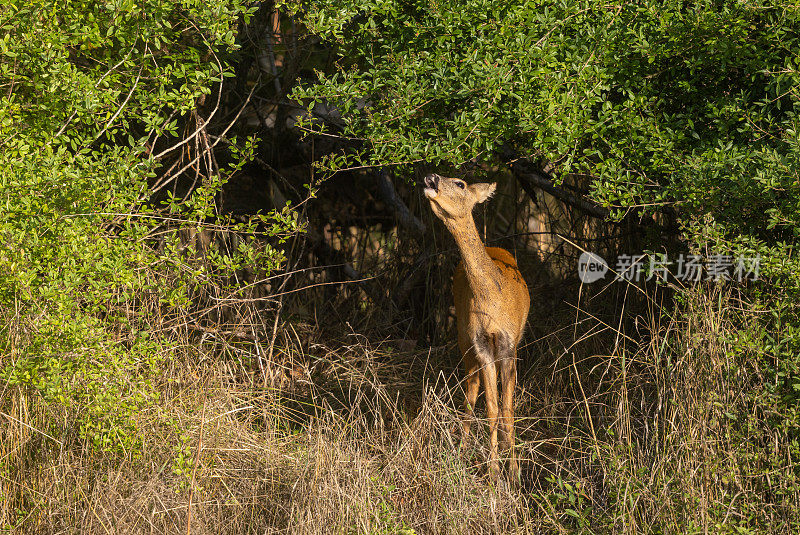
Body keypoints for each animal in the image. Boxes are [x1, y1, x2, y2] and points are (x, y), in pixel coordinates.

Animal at [422, 173, 528, 482]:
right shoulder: (482, 345)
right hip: (463, 338)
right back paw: (462, 449)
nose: (431, 177)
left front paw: (514, 472)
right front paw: (494, 472)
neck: (491, 301)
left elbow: (507, 408)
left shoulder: (508, 345)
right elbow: (491, 407)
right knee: (471, 392)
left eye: (460, 183)